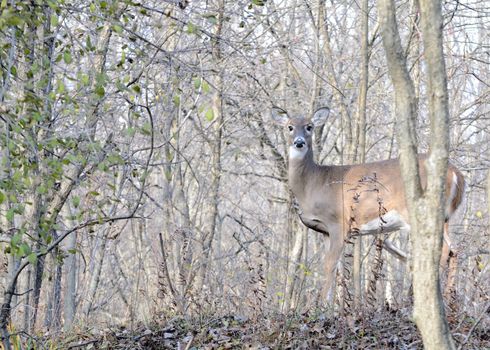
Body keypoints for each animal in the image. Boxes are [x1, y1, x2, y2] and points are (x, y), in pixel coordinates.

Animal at [274, 106, 466, 298]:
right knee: (453, 249)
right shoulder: (325, 231)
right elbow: (333, 269)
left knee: (442, 249)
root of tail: (455, 173)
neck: (314, 183)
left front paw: (320, 304)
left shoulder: (338, 222)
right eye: (290, 127)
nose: (299, 142)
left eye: (309, 127)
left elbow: (329, 265)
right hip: (445, 217)